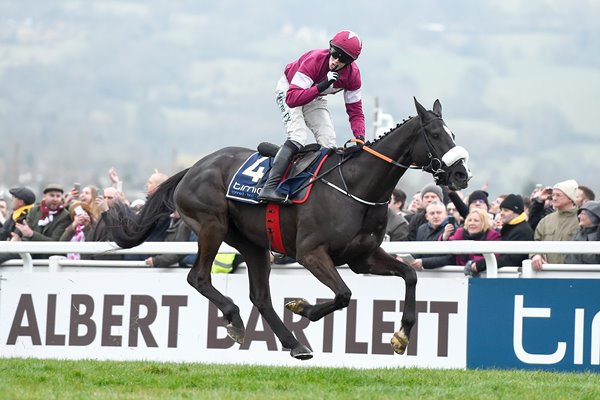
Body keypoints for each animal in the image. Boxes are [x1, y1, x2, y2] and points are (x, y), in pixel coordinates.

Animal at [110, 98, 472, 360]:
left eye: (454, 134)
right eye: (436, 135)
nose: (461, 175)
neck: (356, 187)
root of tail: (193, 168)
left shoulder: (363, 257)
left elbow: (409, 275)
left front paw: (401, 335)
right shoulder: (310, 253)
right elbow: (343, 294)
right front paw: (303, 307)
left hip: (253, 243)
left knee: (260, 296)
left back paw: (292, 342)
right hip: (212, 225)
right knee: (199, 277)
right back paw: (235, 318)